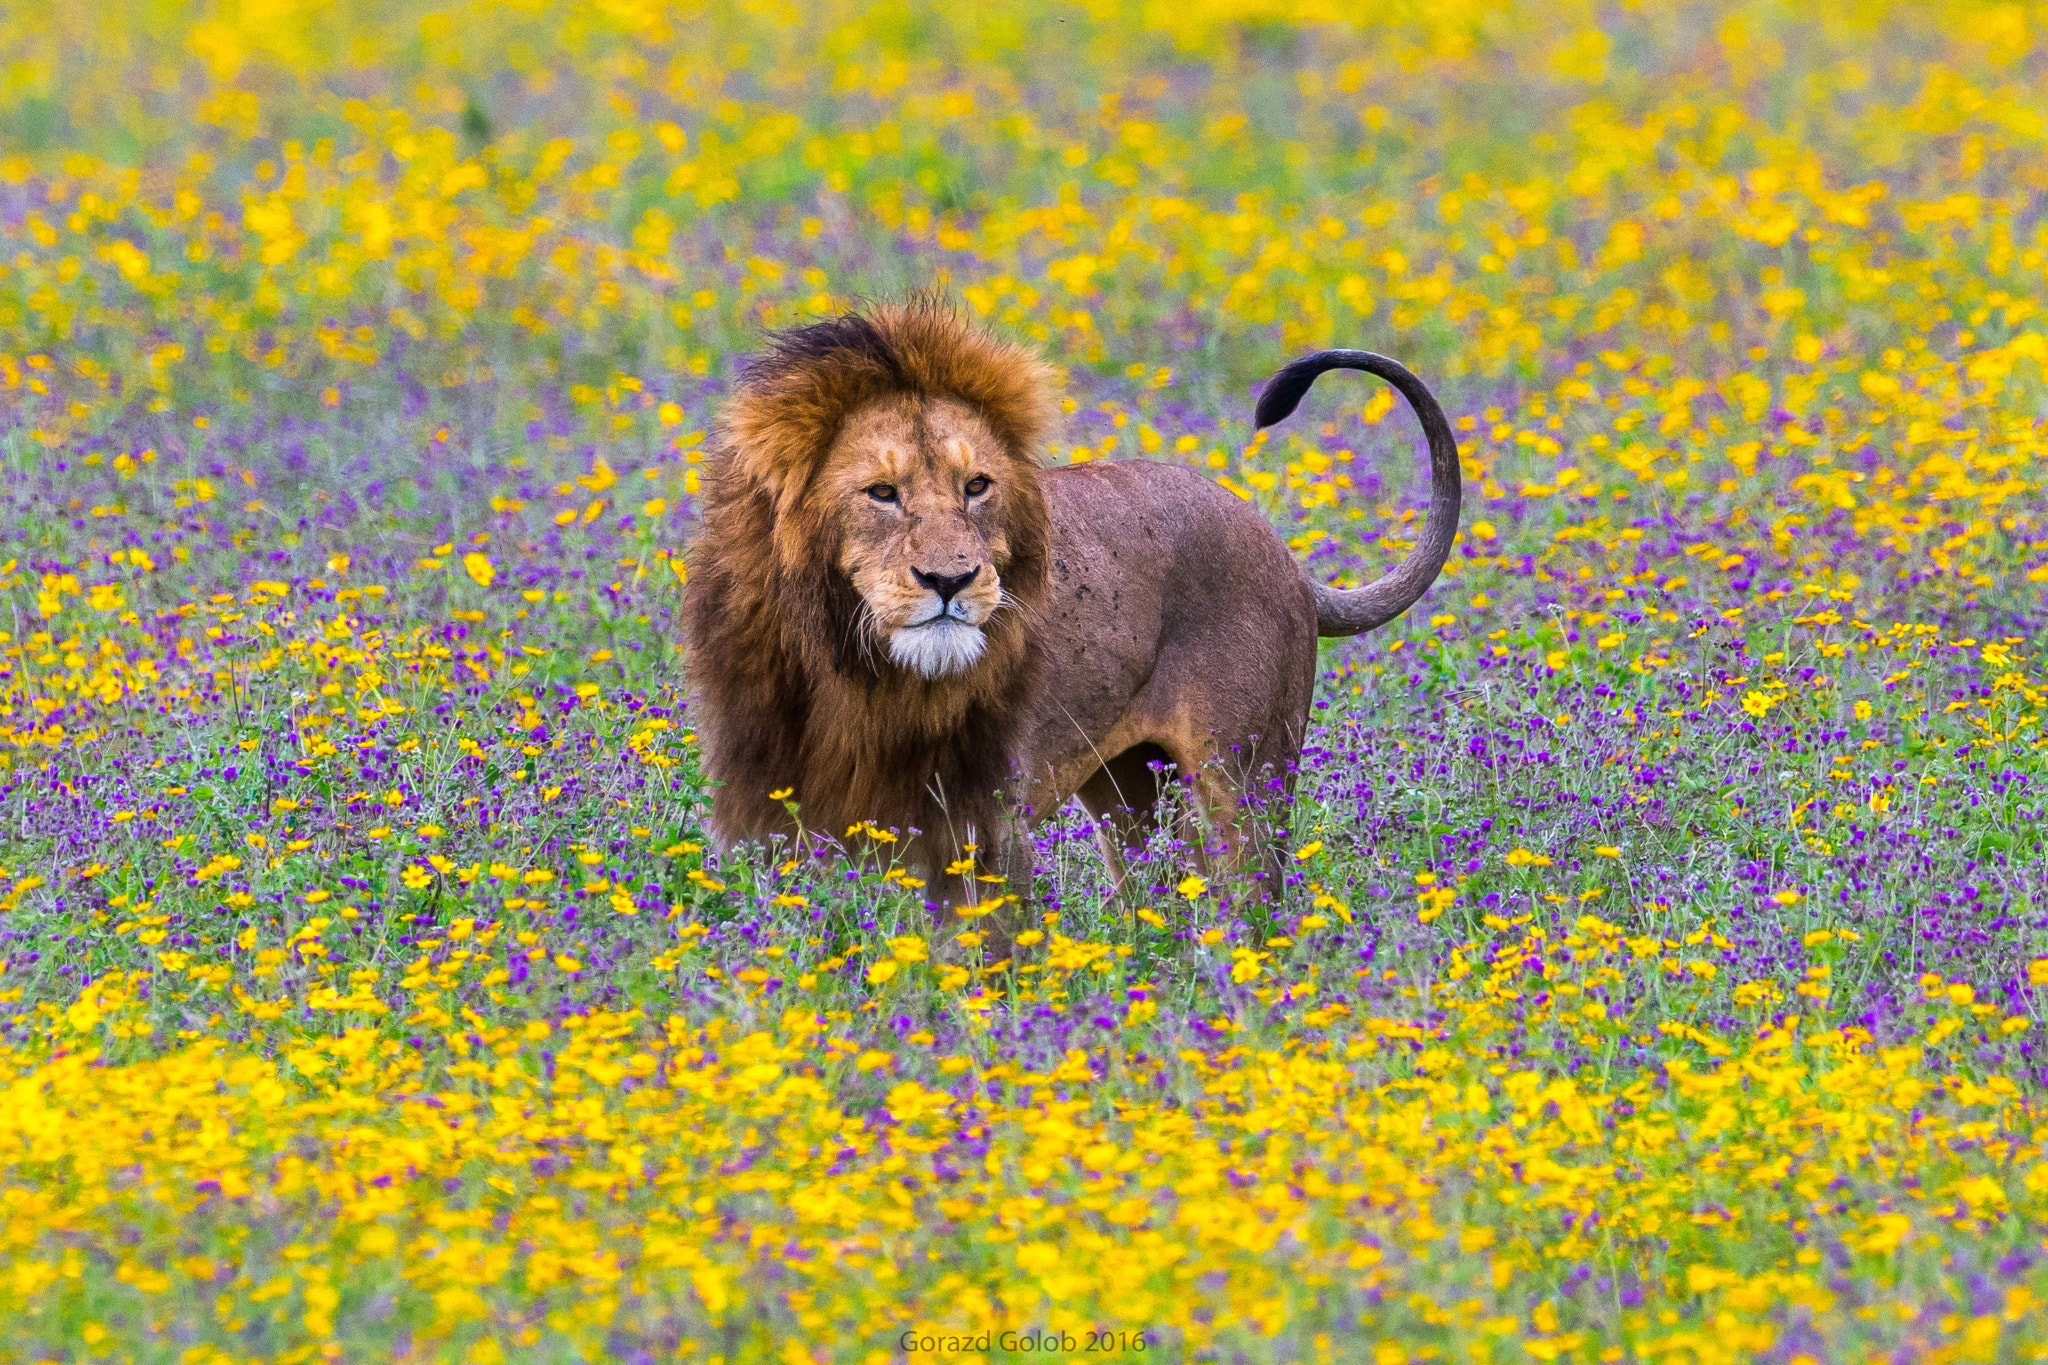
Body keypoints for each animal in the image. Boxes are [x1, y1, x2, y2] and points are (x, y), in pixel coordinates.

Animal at [688, 302, 1458, 933]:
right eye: (881, 492)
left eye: (977, 486)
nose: (951, 579)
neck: (855, 674)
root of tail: (1281, 550)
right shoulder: (778, 827)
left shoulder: (986, 828)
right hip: (1128, 789)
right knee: (1160, 894)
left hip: (1247, 777)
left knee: (1253, 903)